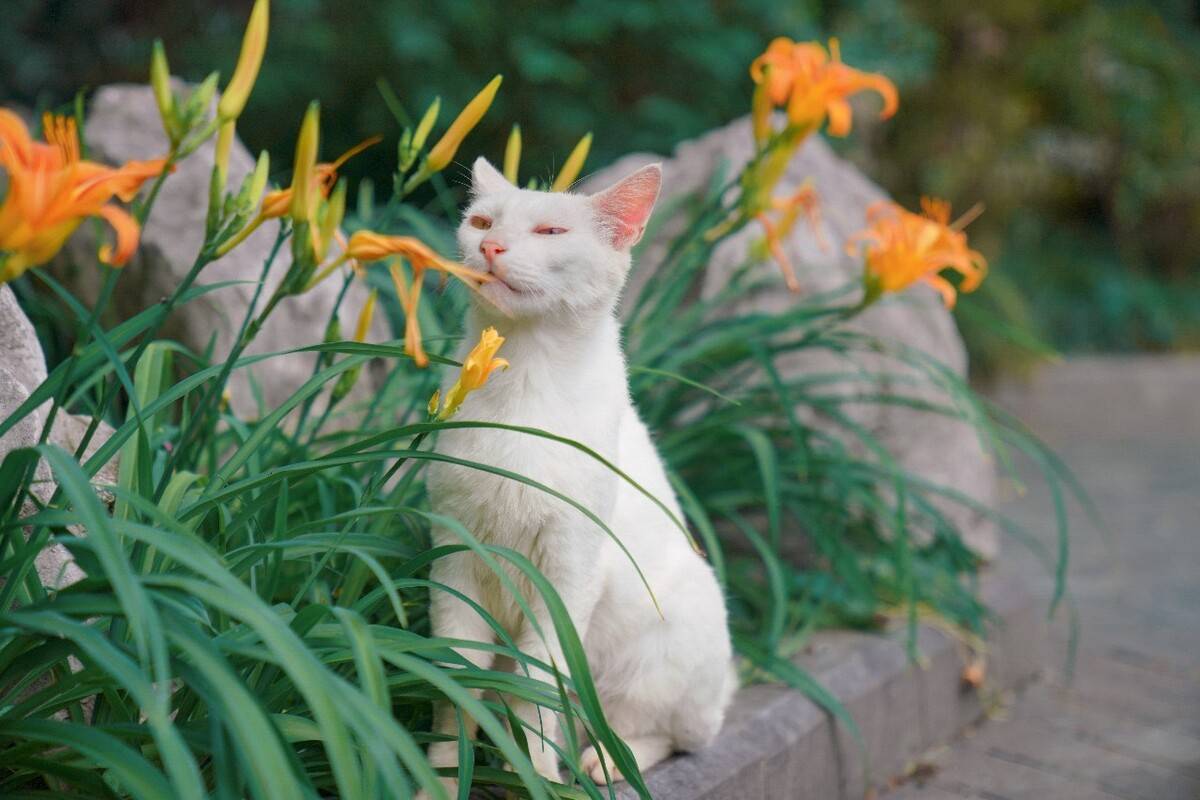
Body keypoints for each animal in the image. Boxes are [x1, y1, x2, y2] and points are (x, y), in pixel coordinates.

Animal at [422, 159, 739, 791]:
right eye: (481, 222)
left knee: (675, 734)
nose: (490, 246)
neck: (522, 383)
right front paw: (443, 776)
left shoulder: (570, 572)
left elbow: (537, 687)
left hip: (668, 646)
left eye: (550, 232)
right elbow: (458, 681)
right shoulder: (455, 556)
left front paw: (535, 775)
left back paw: (603, 760)